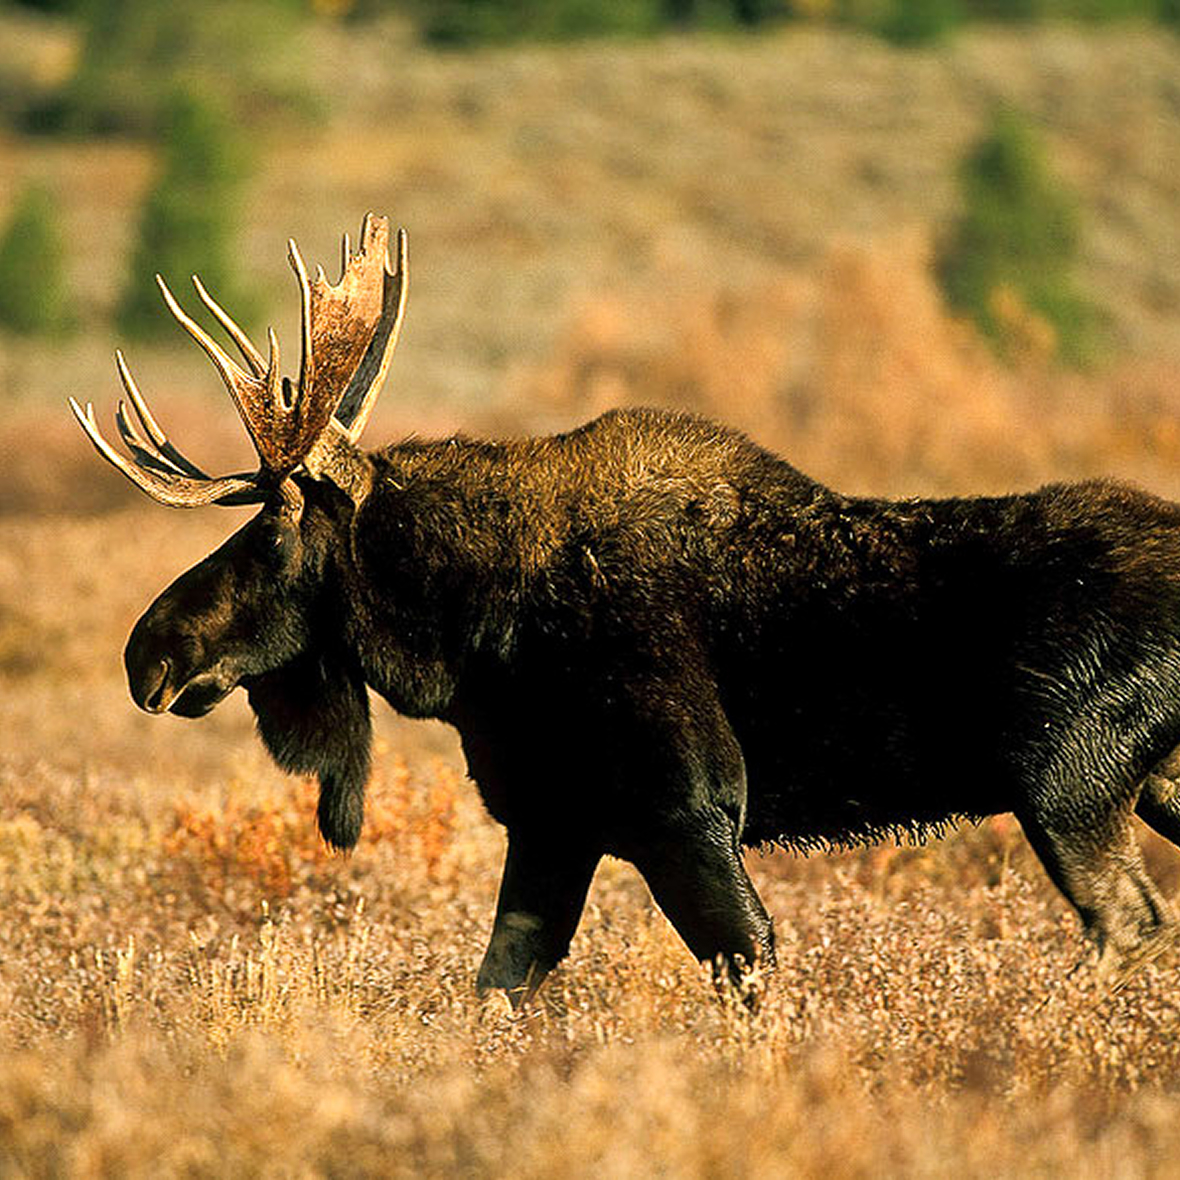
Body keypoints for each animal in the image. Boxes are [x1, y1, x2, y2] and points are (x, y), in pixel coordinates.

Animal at [73, 215, 1180, 1005]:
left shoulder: (683, 807)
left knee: (1127, 922)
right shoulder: (554, 819)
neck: (468, 637)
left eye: (269, 536)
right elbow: (497, 984)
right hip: (1149, 784)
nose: (145, 653)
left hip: (1066, 782)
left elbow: (748, 967)